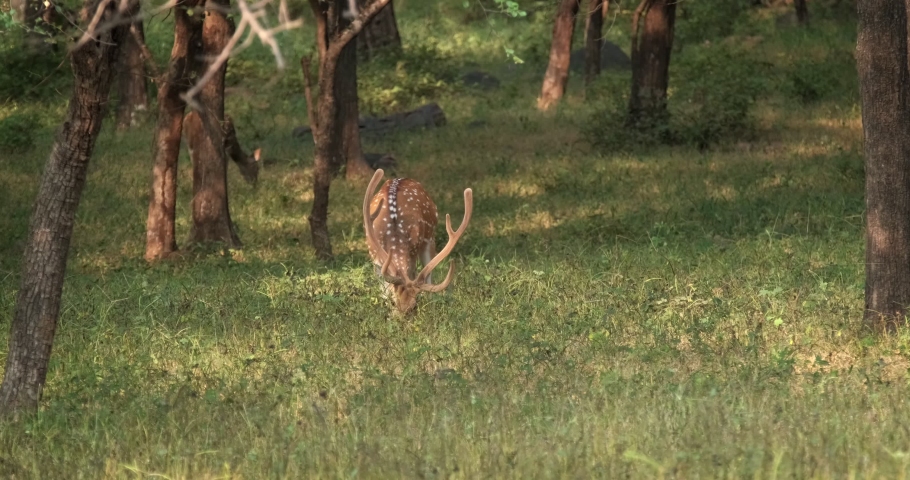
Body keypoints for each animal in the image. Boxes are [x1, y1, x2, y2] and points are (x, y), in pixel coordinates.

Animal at [363, 169, 473, 314]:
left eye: (414, 306)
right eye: (393, 303)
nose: (401, 319)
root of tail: (402, 178)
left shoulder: (414, 250)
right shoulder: (374, 255)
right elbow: (384, 290)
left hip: (429, 238)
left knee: (428, 277)